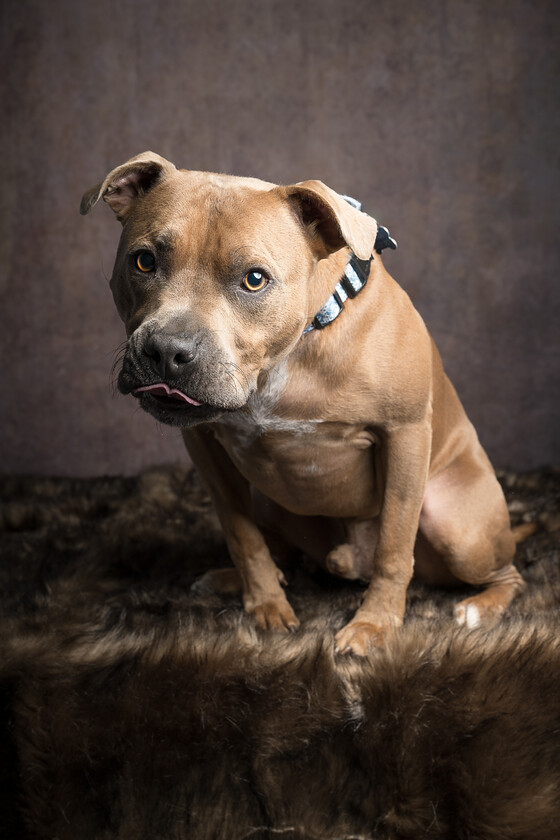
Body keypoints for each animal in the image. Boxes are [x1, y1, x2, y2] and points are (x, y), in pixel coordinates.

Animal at [82, 154, 524, 660]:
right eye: (144, 261)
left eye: (254, 279)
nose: (167, 351)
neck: (285, 356)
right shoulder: (204, 445)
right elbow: (242, 534)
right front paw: (265, 604)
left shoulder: (405, 433)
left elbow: (395, 545)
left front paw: (375, 625)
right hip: (272, 501)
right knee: (277, 544)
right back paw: (239, 579)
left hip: (458, 529)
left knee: (507, 572)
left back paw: (478, 609)